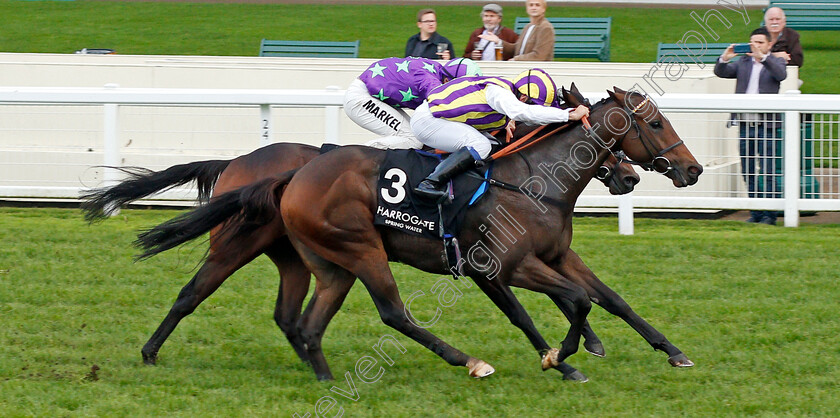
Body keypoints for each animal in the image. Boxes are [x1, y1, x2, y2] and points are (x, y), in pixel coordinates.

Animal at [133, 86, 704, 380]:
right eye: (654, 123)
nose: (691, 170)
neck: (531, 180)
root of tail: (282, 175)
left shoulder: (555, 255)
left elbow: (608, 298)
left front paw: (671, 350)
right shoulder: (502, 266)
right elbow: (562, 304)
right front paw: (561, 359)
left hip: (317, 260)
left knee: (299, 321)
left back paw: (319, 372)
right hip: (339, 248)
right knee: (388, 312)